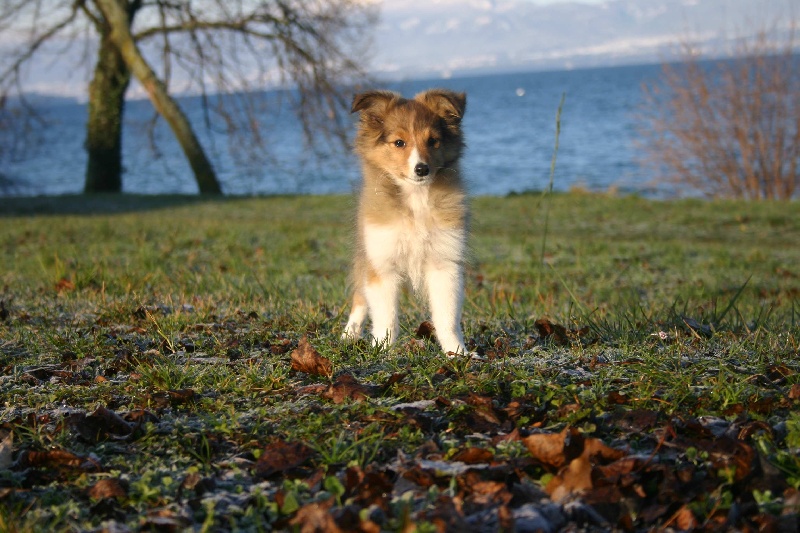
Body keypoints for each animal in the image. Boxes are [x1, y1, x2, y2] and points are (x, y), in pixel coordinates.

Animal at [342, 87, 468, 356]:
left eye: (433, 141)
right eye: (399, 142)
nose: (422, 169)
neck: (416, 200)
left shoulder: (444, 263)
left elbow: (447, 316)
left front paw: (457, 353)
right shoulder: (382, 263)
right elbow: (386, 317)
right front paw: (382, 350)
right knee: (360, 298)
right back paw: (349, 334)